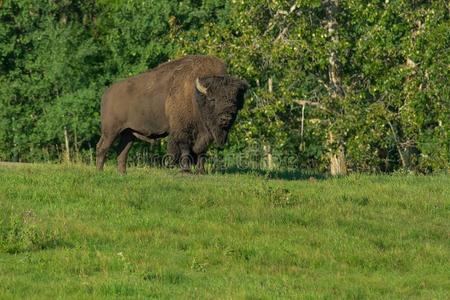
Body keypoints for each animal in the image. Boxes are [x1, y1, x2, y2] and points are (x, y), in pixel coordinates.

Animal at [96, 55, 250, 173]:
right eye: (213, 99)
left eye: (235, 100)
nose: (226, 118)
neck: (195, 95)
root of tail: (107, 93)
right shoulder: (182, 131)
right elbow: (185, 149)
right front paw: (186, 170)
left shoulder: (205, 135)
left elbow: (201, 152)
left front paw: (201, 171)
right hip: (111, 131)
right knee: (102, 147)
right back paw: (100, 172)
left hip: (129, 133)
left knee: (122, 152)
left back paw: (122, 173)